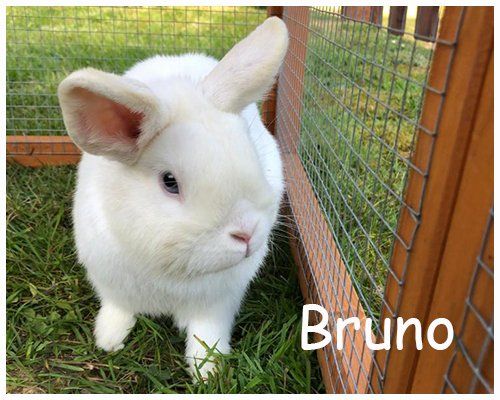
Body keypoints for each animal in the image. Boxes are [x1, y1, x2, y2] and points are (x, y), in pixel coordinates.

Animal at [57, 17, 288, 379]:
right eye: (170, 182)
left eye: (251, 153)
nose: (247, 235)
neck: (173, 271)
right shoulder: (111, 285)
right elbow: (118, 309)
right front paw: (108, 340)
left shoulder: (218, 302)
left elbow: (207, 331)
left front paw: (207, 371)